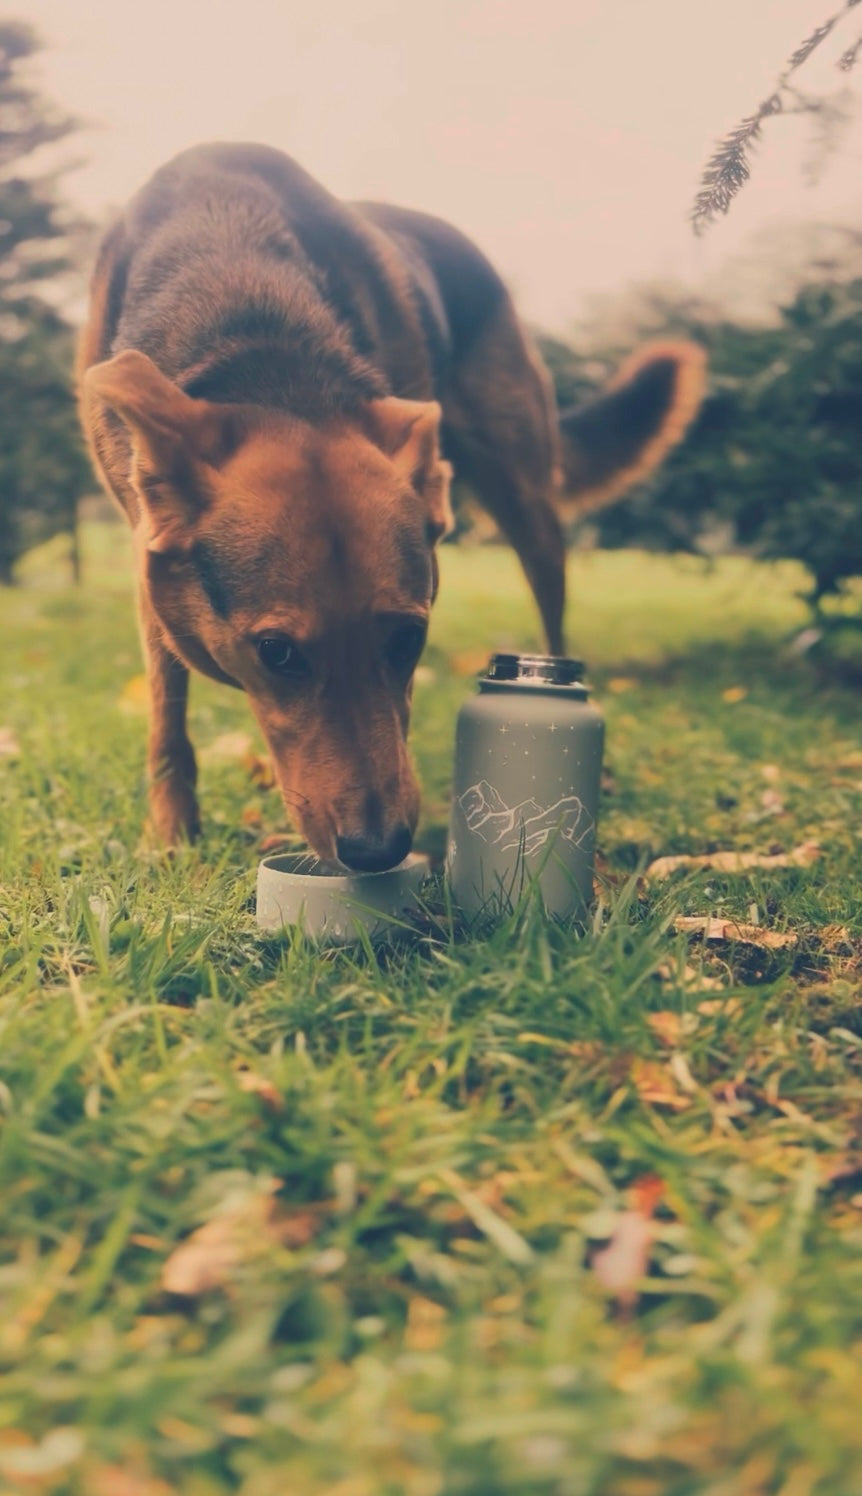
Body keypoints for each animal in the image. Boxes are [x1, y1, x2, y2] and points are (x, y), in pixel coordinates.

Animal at [75, 142, 706, 867]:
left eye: (408, 638)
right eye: (276, 653)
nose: (379, 850)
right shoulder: (150, 563)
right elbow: (166, 711)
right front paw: (173, 835)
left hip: (525, 497)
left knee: (552, 612)